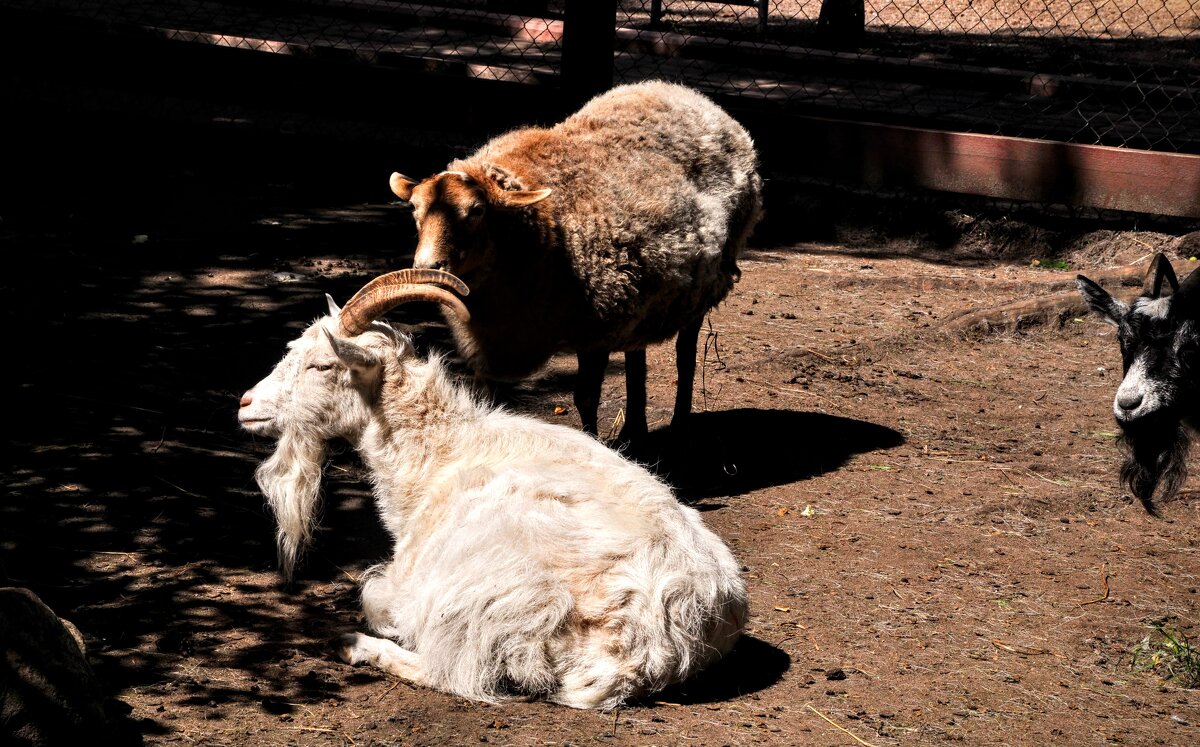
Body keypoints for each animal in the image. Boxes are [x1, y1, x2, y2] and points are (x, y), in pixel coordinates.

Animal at [237, 272, 744, 710]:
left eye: (322, 364)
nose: (244, 404)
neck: (441, 454)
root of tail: (655, 646)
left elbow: (376, 598)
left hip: (484, 601)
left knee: (450, 671)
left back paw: (357, 645)